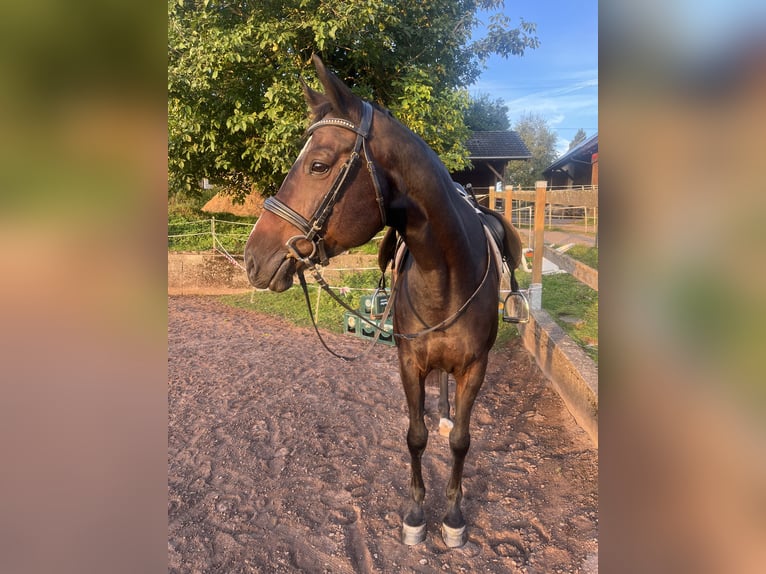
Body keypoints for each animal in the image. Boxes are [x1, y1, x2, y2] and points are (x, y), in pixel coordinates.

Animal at [243, 57, 524, 548]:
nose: (252, 258)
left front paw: (454, 517)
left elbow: (462, 441)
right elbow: (415, 436)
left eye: (318, 165)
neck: (445, 276)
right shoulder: (409, 362)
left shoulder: (475, 366)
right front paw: (416, 514)